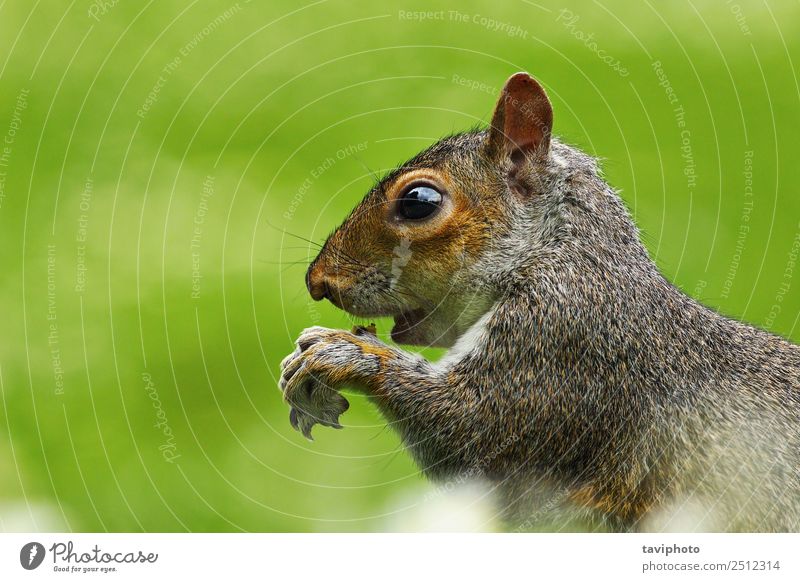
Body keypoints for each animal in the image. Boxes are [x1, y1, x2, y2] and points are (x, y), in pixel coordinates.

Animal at [282, 73, 800, 532]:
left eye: (418, 201)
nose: (317, 282)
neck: (558, 255)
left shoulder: (563, 344)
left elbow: (473, 432)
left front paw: (342, 352)